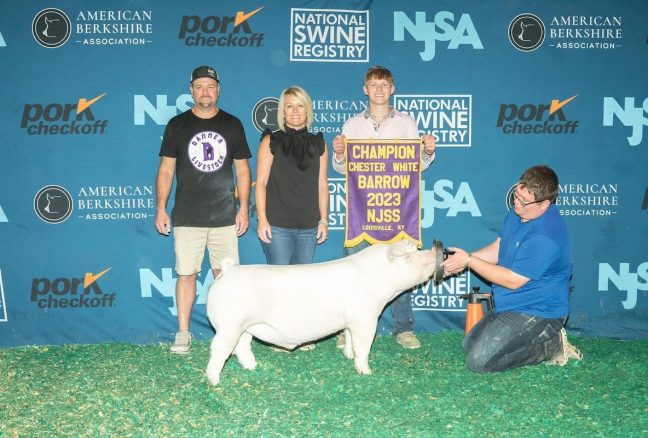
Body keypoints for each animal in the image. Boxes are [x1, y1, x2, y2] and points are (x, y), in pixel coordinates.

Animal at [208, 238, 440, 384]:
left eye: (415, 251)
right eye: (407, 257)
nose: (433, 252)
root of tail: (227, 272)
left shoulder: (350, 320)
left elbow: (349, 337)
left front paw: (347, 355)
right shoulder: (365, 317)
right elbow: (363, 345)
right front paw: (366, 372)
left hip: (245, 326)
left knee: (241, 347)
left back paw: (252, 367)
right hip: (230, 324)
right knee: (220, 348)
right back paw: (214, 380)